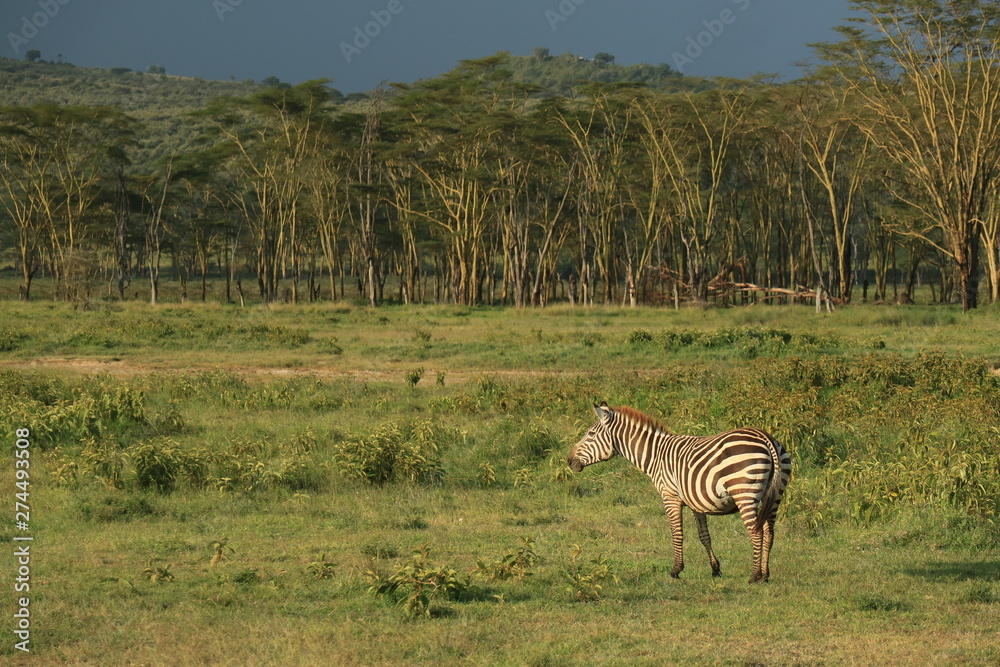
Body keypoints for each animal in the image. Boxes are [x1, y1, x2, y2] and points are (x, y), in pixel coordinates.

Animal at [566, 402, 791, 583]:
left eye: (590, 434)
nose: (569, 461)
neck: (655, 455)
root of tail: (766, 437)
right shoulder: (696, 501)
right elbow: (704, 535)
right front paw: (715, 569)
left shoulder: (670, 496)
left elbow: (677, 533)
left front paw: (676, 570)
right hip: (776, 495)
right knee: (769, 532)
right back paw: (765, 575)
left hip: (744, 493)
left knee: (756, 531)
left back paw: (754, 576)